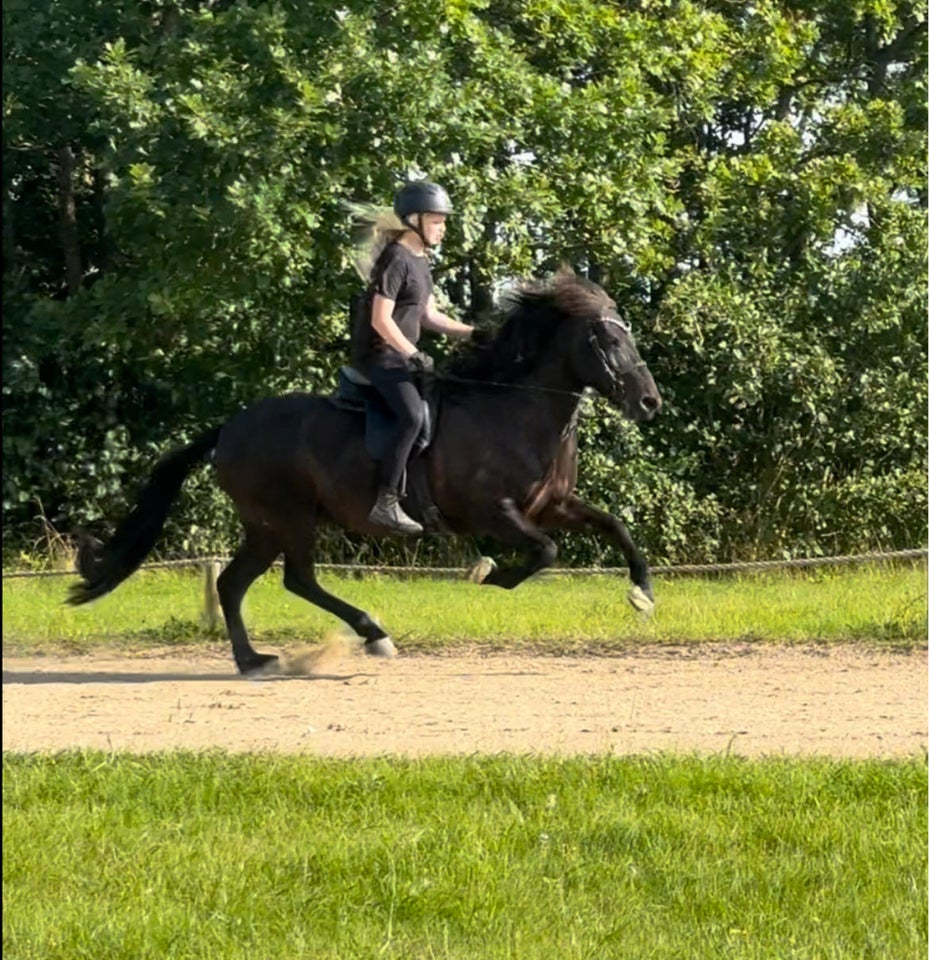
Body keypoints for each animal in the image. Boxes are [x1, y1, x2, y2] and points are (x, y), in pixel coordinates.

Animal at [70, 270, 660, 676]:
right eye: (609, 341)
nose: (650, 402)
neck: (514, 410)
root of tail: (229, 429)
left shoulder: (551, 506)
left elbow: (613, 526)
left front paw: (642, 593)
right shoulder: (493, 512)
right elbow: (545, 552)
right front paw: (489, 574)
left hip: (265, 526)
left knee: (235, 583)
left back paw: (255, 659)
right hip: (288, 518)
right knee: (296, 579)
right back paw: (370, 634)